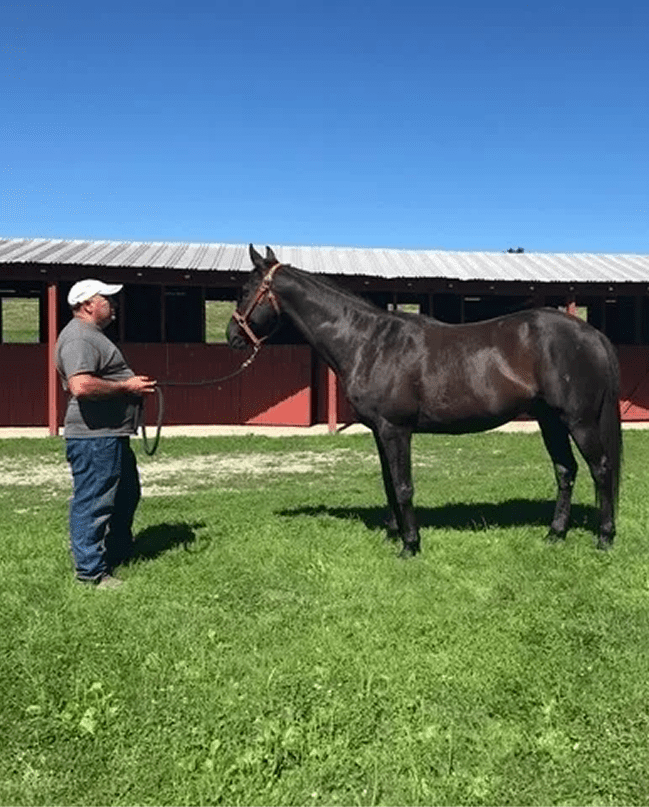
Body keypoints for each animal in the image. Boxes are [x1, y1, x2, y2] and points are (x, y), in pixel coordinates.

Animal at [227, 245, 622, 557]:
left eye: (245, 289)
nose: (232, 336)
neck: (368, 342)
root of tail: (591, 334)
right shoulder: (380, 432)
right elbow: (389, 483)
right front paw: (394, 533)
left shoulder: (396, 430)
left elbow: (403, 486)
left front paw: (410, 545)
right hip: (549, 420)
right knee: (565, 470)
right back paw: (555, 534)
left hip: (579, 421)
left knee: (601, 469)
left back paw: (604, 538)